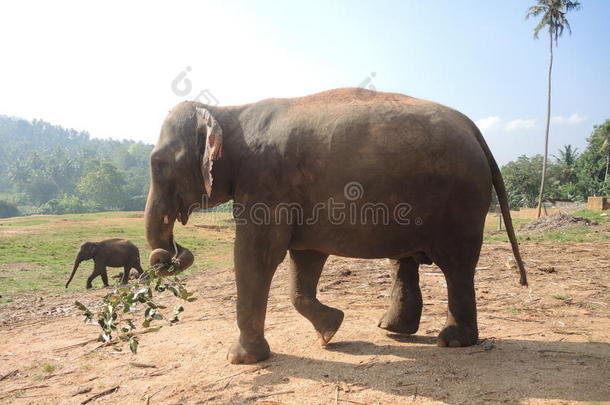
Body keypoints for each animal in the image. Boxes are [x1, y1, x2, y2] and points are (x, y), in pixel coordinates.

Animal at [145, 87, 524, 362]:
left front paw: (241, 360)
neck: (230, 112)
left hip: (460, 200)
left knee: (457, 265)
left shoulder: (266, 182)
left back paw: (453, 342)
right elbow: (304, 258)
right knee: (406, 260)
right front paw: (330, 330)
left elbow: (257, 256)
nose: (168, 254)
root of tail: (472, 128)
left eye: (158, 163)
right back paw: (393, 330)